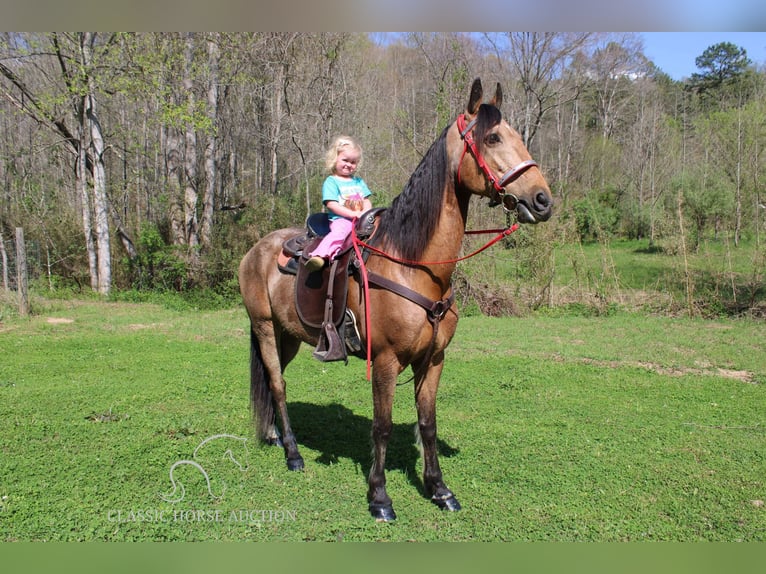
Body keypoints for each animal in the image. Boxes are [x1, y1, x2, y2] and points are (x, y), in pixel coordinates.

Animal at [238, 76, 552, 520]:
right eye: (492, 138)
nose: (543, 199)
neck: (415, 264)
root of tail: (256, 250)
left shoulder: (433, 359)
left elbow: (428, 423)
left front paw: (439, 489)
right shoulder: (385, 361)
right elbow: (382, 426)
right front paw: (379, 497)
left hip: (289, 336)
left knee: (271, 378)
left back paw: (274, 436)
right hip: (265, 328)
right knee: (279, 385)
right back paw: (294, 454)